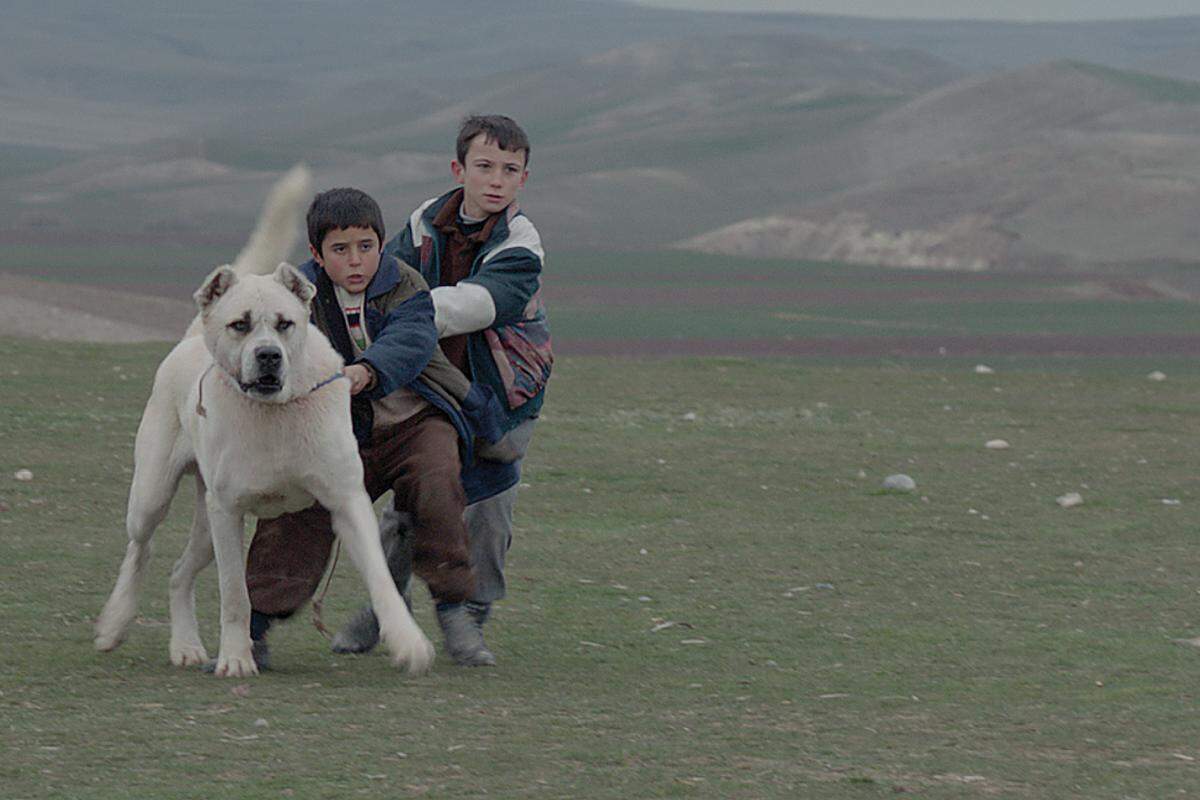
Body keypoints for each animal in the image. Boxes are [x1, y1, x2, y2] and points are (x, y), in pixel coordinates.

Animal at [93, 165, 434, 681]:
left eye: (285, 323)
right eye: (241, 325)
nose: (269, 356)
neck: (276, 412)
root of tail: (191, 338)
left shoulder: (345, 501)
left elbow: (381, 579)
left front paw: (408, 642)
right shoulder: (229, 510)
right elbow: (236, 594)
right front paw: (236, 658)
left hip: (204, 521)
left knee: (178, 572)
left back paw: (186, 646)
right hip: (156, 496)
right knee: (140, 550)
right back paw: (115, 625)